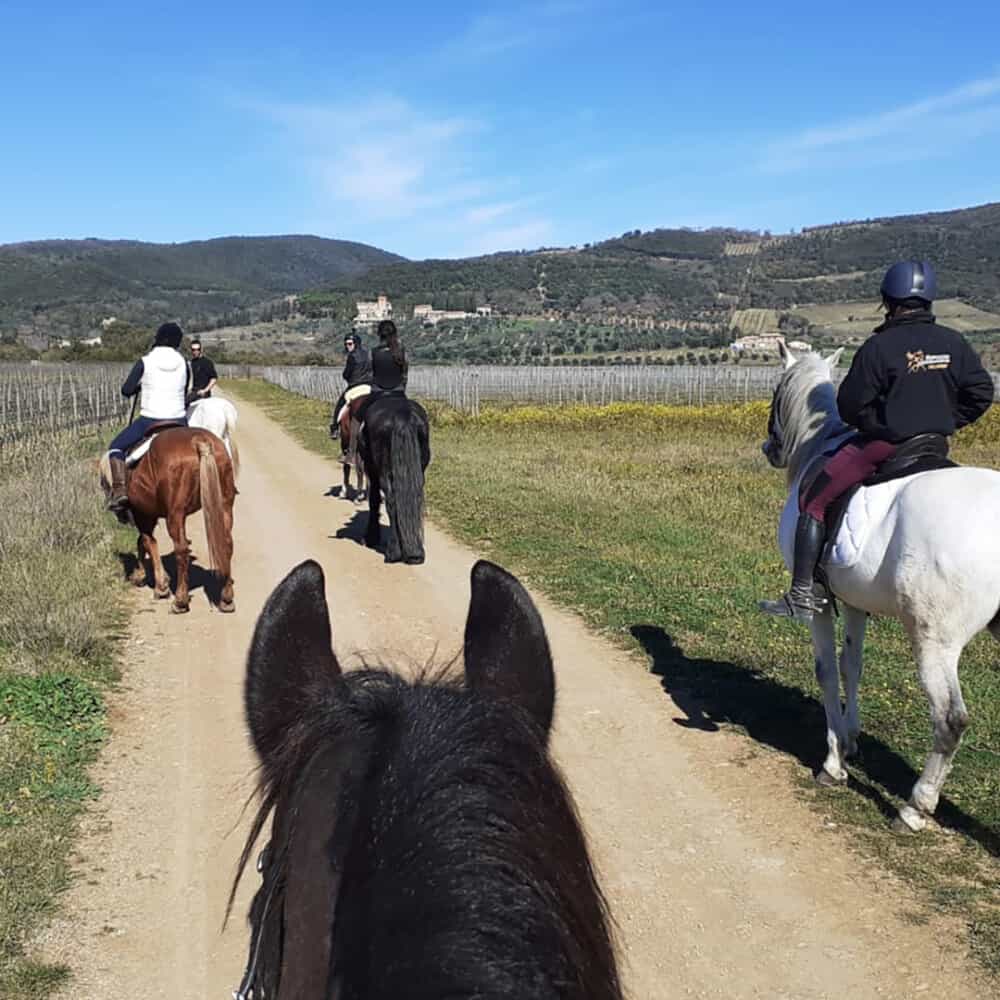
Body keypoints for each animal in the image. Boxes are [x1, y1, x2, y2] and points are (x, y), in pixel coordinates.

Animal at [99, 428, 236, 612]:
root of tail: (199, 441)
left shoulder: (142, 515)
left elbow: (146, 542)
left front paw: (159, 585)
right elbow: (143, 541)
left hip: (175, 514)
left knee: (181, 550)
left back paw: (180, 601)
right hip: (224, 505)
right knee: (226, 544)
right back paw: (226, 599)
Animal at [360, 390, 430, 564]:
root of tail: (402, 415)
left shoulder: (371, 469)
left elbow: (374, 499)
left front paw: (371, 537)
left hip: (383, 470)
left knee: (391, 501)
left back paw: (393, 552)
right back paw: (415, 551)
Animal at [760, 344, 996, 836]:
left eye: (774, 392)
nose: (769, 448)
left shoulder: (820, 603)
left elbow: (826, 671)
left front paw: (833, 763)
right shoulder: (853, 601)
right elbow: (852, 665)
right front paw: (850, 739)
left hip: (935, 641)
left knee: (950, 719)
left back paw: (914, 808)